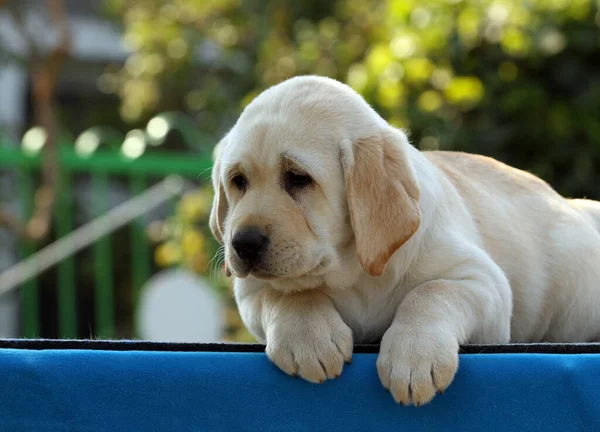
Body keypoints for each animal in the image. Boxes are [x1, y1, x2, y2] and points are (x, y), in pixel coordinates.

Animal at [209, 75, 600, 404]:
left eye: (297, 178)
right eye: (238, 181)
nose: (242, 244)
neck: (353, 271)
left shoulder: (485, 284)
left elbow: (430, 291)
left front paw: (414, 357)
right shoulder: (250, 291)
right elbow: (285, 293)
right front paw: (310, 339)